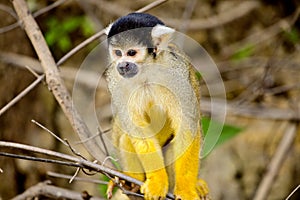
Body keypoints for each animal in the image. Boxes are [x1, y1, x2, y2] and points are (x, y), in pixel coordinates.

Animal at [105, 13, 209, 199]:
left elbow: (187, 128)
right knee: (125, 135)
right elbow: (139, 133)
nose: (122, 65)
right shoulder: (115, 80)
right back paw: (132, 181)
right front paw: (157, 182)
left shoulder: (176, 77)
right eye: (117, 53)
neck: (146, 72)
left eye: (131, 53)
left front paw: (186, 189)